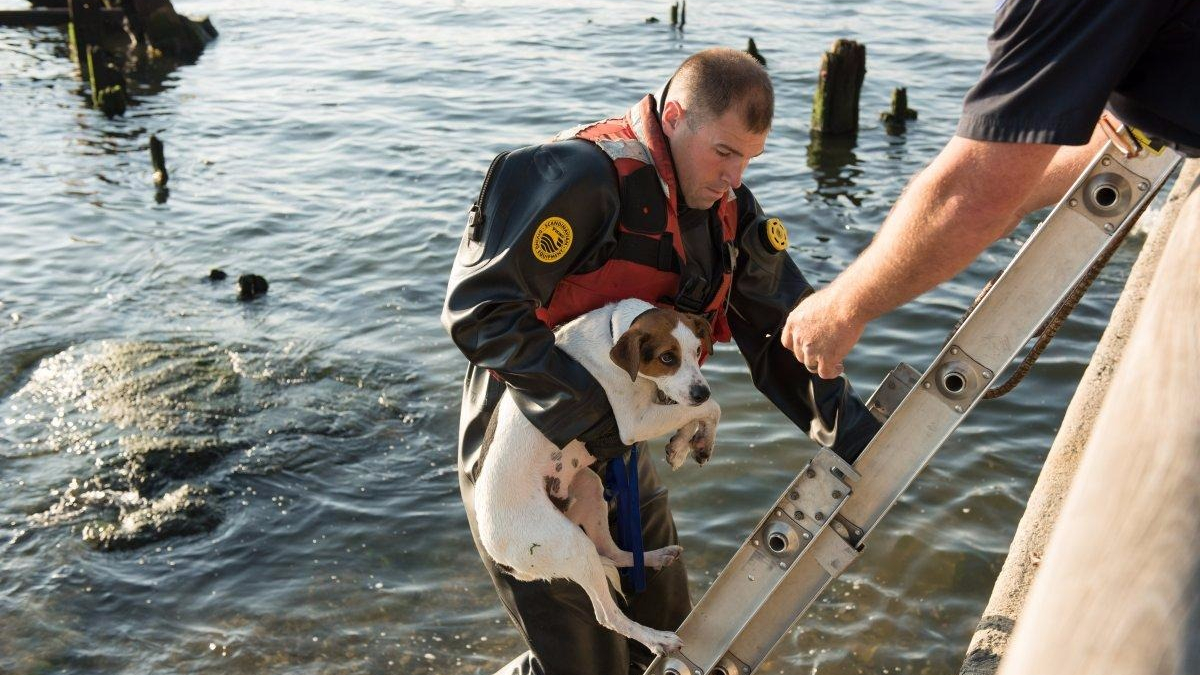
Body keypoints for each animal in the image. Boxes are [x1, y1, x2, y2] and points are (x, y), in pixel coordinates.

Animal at [475, 297, 720, 653]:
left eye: (698, 349)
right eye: (667, 357)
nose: (702, 390)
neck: (613, 334)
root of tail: (499, 557)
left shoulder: (661, 404)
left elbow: (693, 412)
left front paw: (683, 447)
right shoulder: (633, 424)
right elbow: (711, 409)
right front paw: (698, 440)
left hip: (589, 490)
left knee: (612, 552)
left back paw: (656, 556)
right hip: (571, 545)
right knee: (607, 616)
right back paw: (655, 638)